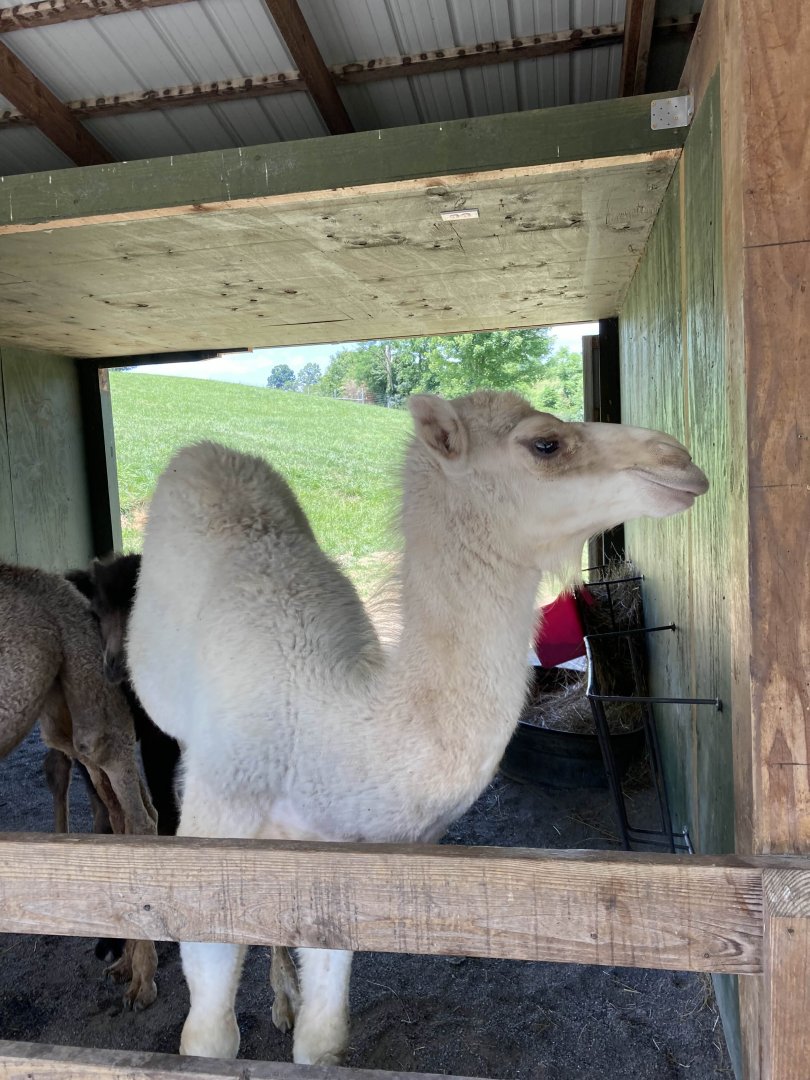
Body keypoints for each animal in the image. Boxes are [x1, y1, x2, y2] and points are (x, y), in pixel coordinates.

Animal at [0, 562, 159, 1010]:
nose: (118, 664)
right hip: (66, 714)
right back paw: (124, 963)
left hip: (88, 699)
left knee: (137, 817)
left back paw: (141, 980)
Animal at [127, 390, 709, 1065]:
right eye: (545, 443)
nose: (679, 457)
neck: (321, 727)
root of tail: (202, 452)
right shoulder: (212, 837)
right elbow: (209, 1038)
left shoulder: (334, 865)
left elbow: (321, 1039)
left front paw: (299, 1011)